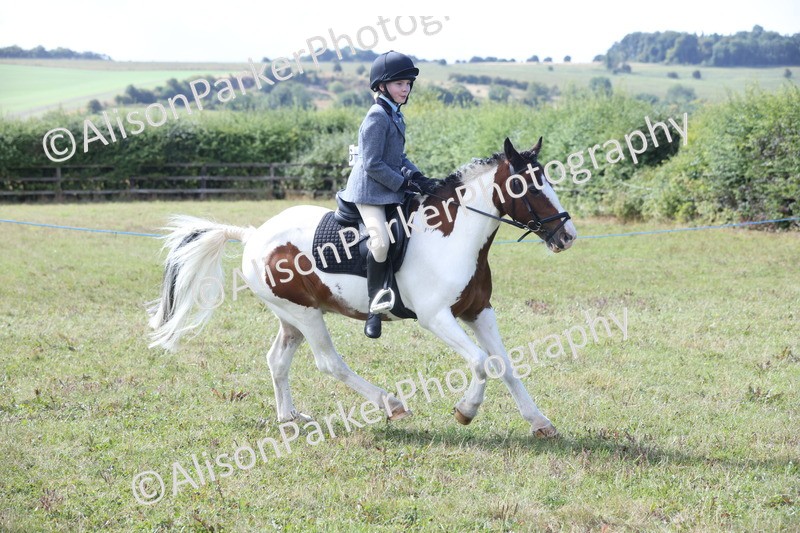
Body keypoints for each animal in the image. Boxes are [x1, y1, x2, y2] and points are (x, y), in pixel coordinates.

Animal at [147, 137, 577, 438]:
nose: (567, 236)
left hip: (292, 316)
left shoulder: (478, 312)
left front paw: (539, 422)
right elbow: (481, 362)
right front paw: (465, 411)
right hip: (306, 315)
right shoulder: (436, 317)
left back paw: (290, 417)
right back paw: (390, 404)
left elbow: (505, 365)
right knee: (329, 363)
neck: (452, 237)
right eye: (527, 187)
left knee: (277, 360)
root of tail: (253, 234)